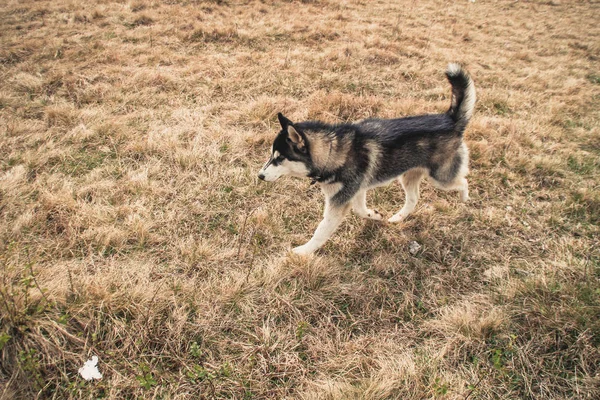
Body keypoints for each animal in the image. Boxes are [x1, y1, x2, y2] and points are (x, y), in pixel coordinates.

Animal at [256, 63, 474, 255]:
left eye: (280, 158)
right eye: (272, 155)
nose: (259, 176)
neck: (332, 152)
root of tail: (450, 120)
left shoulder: (339, 202)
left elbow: (321, 231)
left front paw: (302, 252)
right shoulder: (358, 191)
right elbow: (360, 210)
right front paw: (374, 215)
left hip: (441, 178)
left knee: (463, 181)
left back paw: (464, 198)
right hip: (408, 175)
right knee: (413, 199)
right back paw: (397, 218)